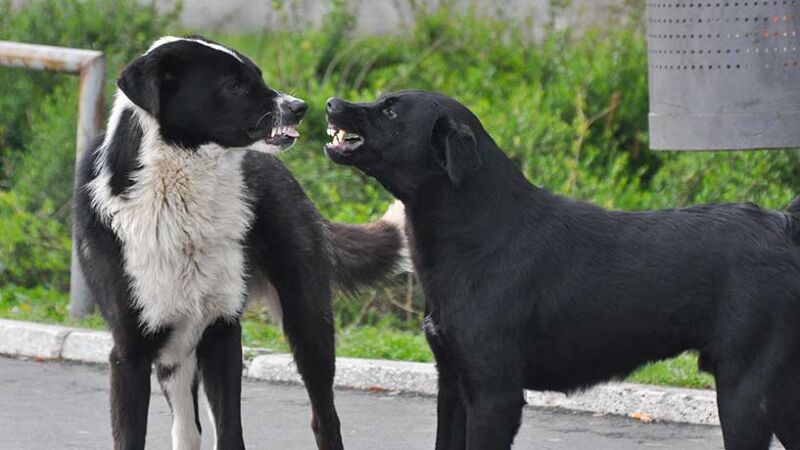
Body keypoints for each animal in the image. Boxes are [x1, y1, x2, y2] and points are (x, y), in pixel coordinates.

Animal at [72, 37, 410, 450]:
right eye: (232, 85)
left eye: (257, 76)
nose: (299, 107)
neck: (180, 195)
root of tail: (281, 170)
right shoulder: (130, 353)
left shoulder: (222, 333)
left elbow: (231, 432)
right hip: (175, 353)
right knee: (186, 429)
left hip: (308, 322)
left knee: (325, 417)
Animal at [322, 90, 800, 450]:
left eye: (390, 110)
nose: (331, 102)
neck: (478, 230)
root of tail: (783, 224)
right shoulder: (452, 386)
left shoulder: (494, 395)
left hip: (745, 393)